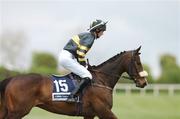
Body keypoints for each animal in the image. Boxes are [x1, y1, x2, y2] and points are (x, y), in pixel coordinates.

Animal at [0, 46, 148, 118]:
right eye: (138, 63)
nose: (144, 82)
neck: (101, 80)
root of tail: (12, 78)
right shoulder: (103, 110)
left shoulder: (90, 114)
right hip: (17, 112)